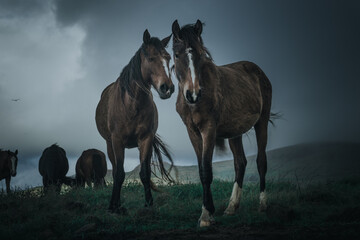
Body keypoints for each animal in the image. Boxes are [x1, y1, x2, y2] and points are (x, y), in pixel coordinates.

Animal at [95, 29, 175, 213]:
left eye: (168, 58)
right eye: (151, 58)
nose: (167, 88)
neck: (132, 105)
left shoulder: (145, 139)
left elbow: (145, 173)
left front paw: (149, 203)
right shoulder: (117, 141)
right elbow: (118, 174)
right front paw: (113, 206)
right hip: (110, 145)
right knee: (116, 170)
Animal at [172, 19, 272, 227]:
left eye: (201, 54)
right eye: (177, 55)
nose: (193, 94)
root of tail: (258, 71)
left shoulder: (209, 129)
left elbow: (206, 170)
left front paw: (205, 215)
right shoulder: (192, 132)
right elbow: (202, 168)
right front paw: (209, 210)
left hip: (262, 122)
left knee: (261, 161)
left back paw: (263, 204)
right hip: (235, 132)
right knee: (240, 163)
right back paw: (232, 206)